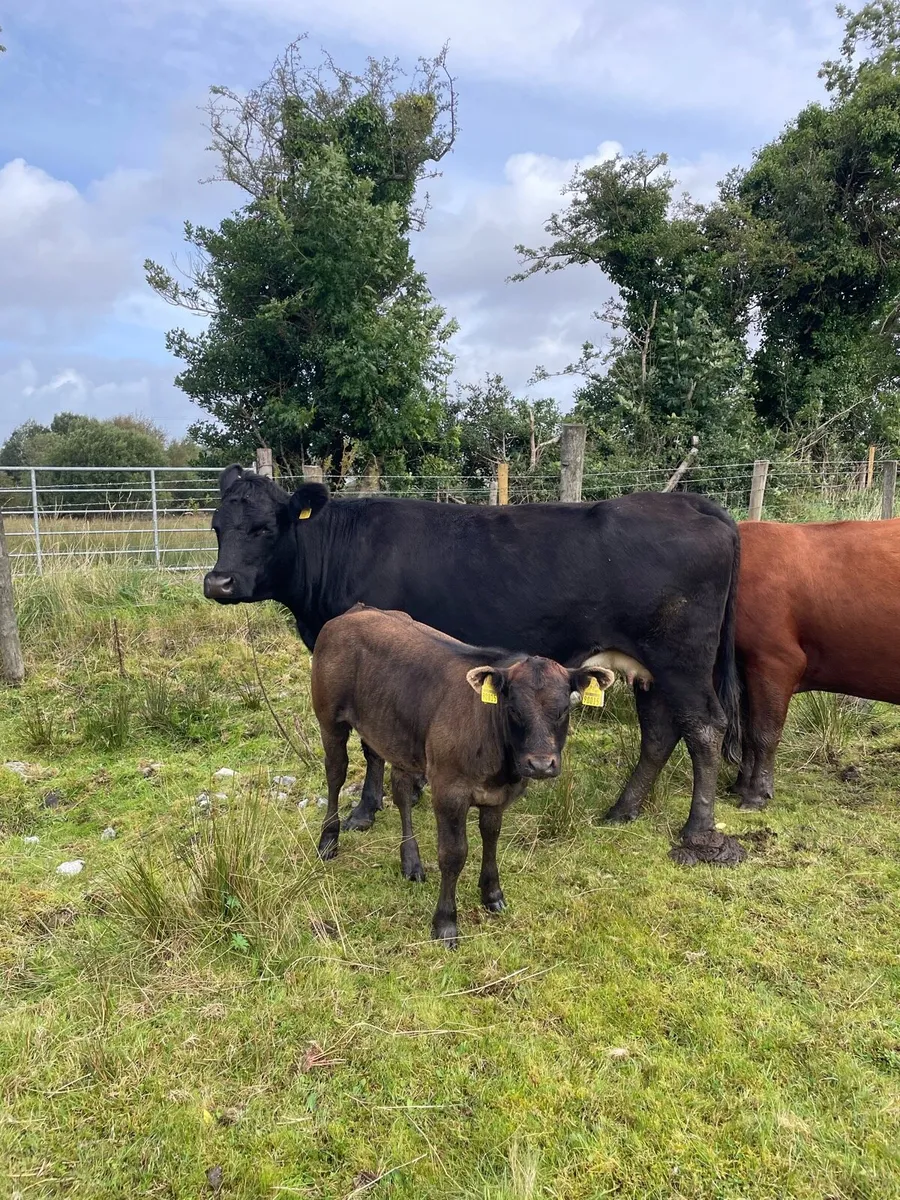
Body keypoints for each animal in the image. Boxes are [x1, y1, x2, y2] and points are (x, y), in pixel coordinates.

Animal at [204, 466, 742, 841]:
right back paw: (622, 810)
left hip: (682, 660)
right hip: (649, 667)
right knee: (660, 733)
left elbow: (372, 744)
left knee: (705, 728)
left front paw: (364, 811)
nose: (218, 582)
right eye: (217, 526)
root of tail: (690, 502)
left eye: (266, 527)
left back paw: (697, 828)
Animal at [311, 604, 614, 945]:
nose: (539, 764)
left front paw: (492, 895)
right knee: (335, 773)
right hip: (329, 719)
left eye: (563, 710)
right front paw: (445, 923)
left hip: (399, 735)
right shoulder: (449, 790)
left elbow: (491, 837)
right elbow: (453, 854)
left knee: (401, 790)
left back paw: (411, 862)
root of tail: (357, 610)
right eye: (513, 709)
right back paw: (328, 841)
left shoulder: (499, 795)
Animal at [733, 517, 900, 810]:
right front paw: (741, 785)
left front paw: (756, 794)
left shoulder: (776, 660)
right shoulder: (745, 668)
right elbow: (747, 733)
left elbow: (764, 733)